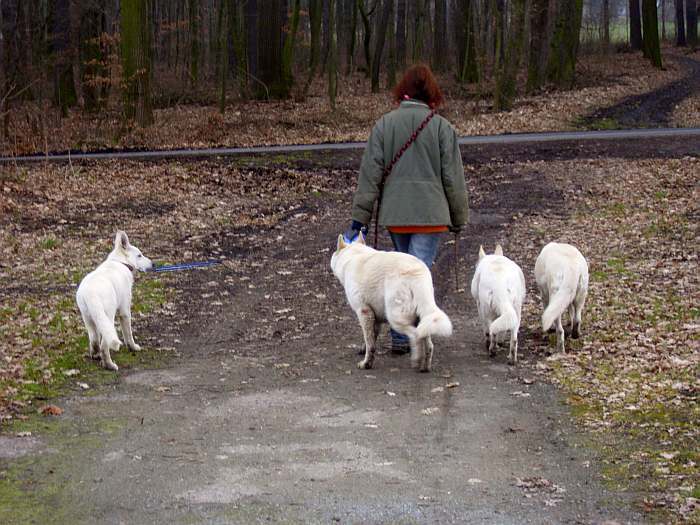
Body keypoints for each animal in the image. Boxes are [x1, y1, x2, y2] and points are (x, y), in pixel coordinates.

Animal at [76, 231, 152, 370]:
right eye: (139, 255)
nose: (153, 264)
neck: (121, 262)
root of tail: (91, 294)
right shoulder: (125, 311)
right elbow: (128, 334)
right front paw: (133, 347)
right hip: (109, 318)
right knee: (104, 346)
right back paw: (110, 365)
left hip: (89, 319)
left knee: (94, 341)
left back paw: (96, 356)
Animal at [330, 231, 452, 370]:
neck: (353, 256)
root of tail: (417, 273)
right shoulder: (375, 317)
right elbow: (371, 340)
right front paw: (365, 352)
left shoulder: (364, 312)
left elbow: (370, 343)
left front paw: (366, 363)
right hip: (422, 318)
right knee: (428, 343)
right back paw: (425, 367)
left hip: (394, 317)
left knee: (415, 335)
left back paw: (416, 360)